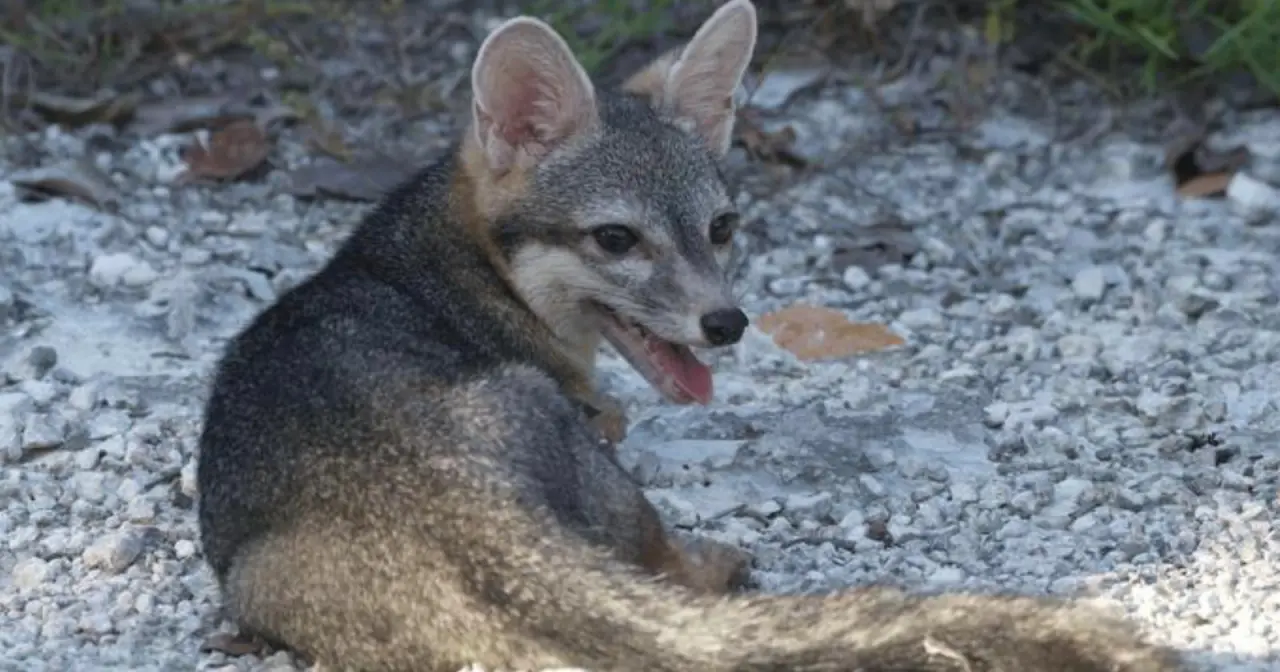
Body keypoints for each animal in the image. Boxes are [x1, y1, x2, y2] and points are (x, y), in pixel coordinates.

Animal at [194, 1, 1190, 670]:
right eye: (616, 240)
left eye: (722, 227)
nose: (727, 322)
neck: (442, 264)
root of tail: (446, 497)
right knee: (664, 561)